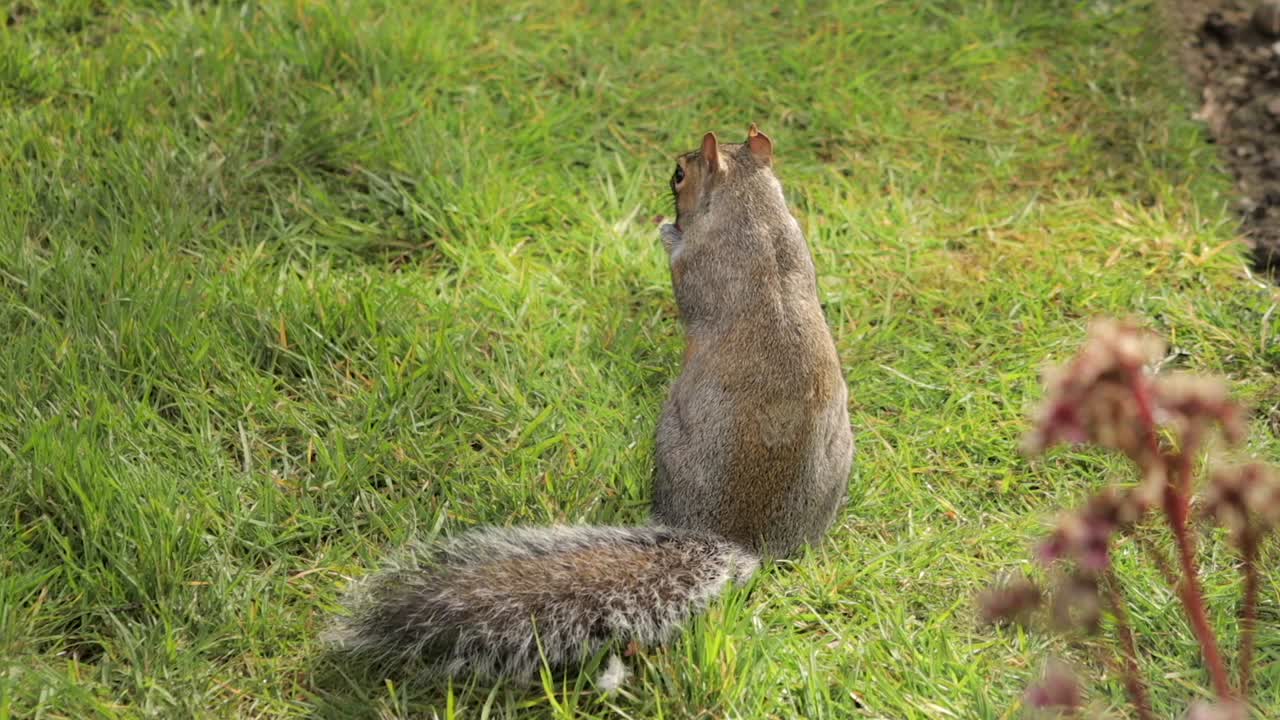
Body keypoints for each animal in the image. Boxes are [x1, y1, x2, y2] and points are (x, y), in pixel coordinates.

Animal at [326, 124, 855, 685]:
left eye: (680, 174)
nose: (670, 179)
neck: (754, 210)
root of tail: (744, 541)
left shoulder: (703, 263)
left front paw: (666, 231)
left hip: (671, 440)